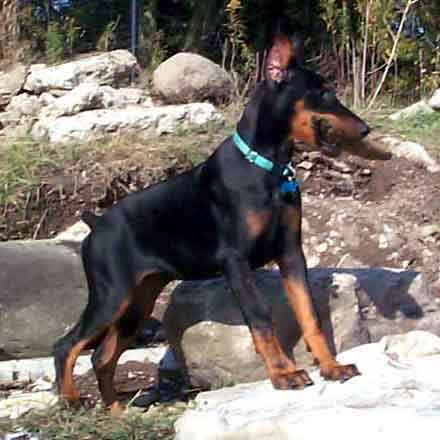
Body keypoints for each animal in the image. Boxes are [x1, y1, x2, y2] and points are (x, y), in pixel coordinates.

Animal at [55, 31, 372, 412]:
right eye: (323, 92)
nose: (366, 129)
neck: (267, 166)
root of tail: (97, 223)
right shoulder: (235, 260)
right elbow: (261, 318)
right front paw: (283, 374)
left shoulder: (291, 254)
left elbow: (309, 315)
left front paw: (331, 367)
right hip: (110, 294)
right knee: (66, 345)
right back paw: (70, 400)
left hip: (138, 300)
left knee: (101, 356)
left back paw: (116, 412)